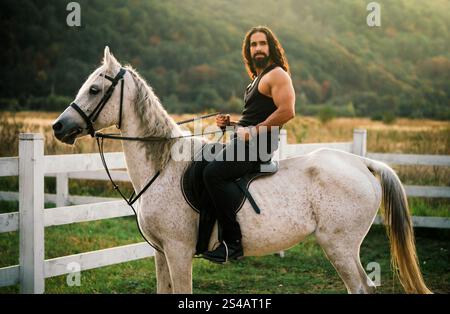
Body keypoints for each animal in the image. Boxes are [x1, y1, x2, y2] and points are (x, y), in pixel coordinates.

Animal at [53, 47, 432, 294]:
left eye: (95, 89)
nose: (58, 127)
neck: (163, 167)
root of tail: (363, 163)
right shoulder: (161, 253)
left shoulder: (177, 252)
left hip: (339, 245)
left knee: (361, 287)